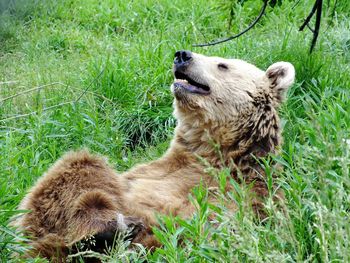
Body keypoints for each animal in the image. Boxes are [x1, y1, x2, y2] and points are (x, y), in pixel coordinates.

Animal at [11, 51, 296, 262]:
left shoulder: (255, 194)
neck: (216, 153)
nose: (182, 55)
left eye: (222, 64)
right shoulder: (151, 170)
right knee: (82, 169)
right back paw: (113, 227)